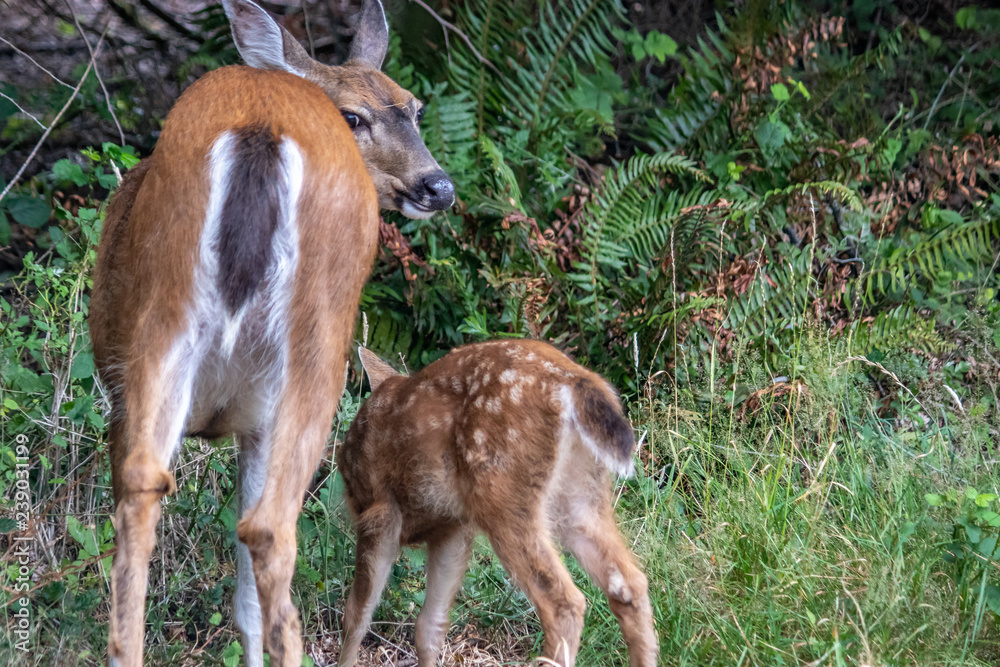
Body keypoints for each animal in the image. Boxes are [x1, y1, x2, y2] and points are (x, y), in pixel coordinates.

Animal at [88, 1, 454, 665]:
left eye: (413, 108)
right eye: (353, 116)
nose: (438, 186)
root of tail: (261, 128)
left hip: (172, 325)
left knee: (155, 495)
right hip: (312, 343)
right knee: (263, 527)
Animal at [336, 340, 659, 667]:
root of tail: (576, 384)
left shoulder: (379, 512)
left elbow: (357, 614)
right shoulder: (454, 527)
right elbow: (430, 626)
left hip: (504, 494)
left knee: (564, 601)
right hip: (579, 498)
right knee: (630, 584)